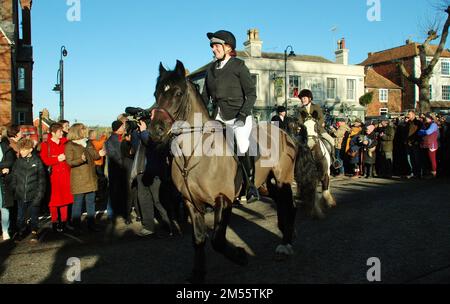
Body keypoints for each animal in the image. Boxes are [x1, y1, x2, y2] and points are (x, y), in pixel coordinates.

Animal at [150, 60, 298, 284]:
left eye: (177, 93)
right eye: (156, 93)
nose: (155, 130)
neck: (195, 153)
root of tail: (284, 132)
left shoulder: (224, 199)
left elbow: (217, 241)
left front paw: (240, 255)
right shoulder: (191, 202)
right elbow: (199, 239)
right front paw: (198, 274)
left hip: (283, 179)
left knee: (289, 206)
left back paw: (286, 245)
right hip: (268, 184)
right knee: (281, 205)